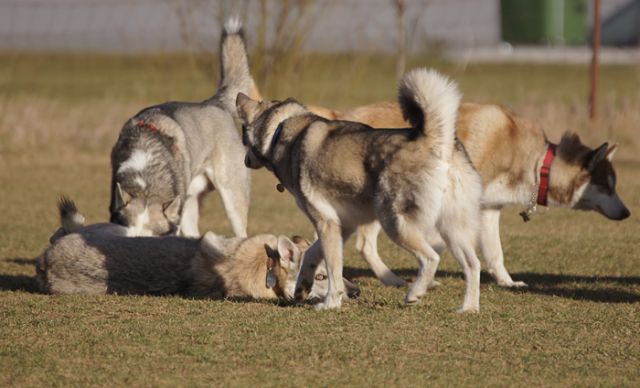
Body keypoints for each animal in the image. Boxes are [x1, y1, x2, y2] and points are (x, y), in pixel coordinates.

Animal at [239, 69, 484, 312]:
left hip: (395, 224)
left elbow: (334, 272)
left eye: (243, 137)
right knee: (473, 264)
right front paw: (302, 287)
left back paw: (414, 293)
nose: (245, 161)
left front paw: (330, 303)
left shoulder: (325, 223)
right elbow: (310, 255)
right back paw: (468, 308)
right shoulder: (342, 225)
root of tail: (435, 140)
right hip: (452, 229)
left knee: (431, 258)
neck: (280, 130)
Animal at [306, 101, 632, 288]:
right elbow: (438, 246)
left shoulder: (488, 211)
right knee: (363, 244)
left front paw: (507, 282)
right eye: (608, 186)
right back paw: (389, 278)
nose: (628, 213)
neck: (539, 163)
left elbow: (495, 253)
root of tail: (340, 115)